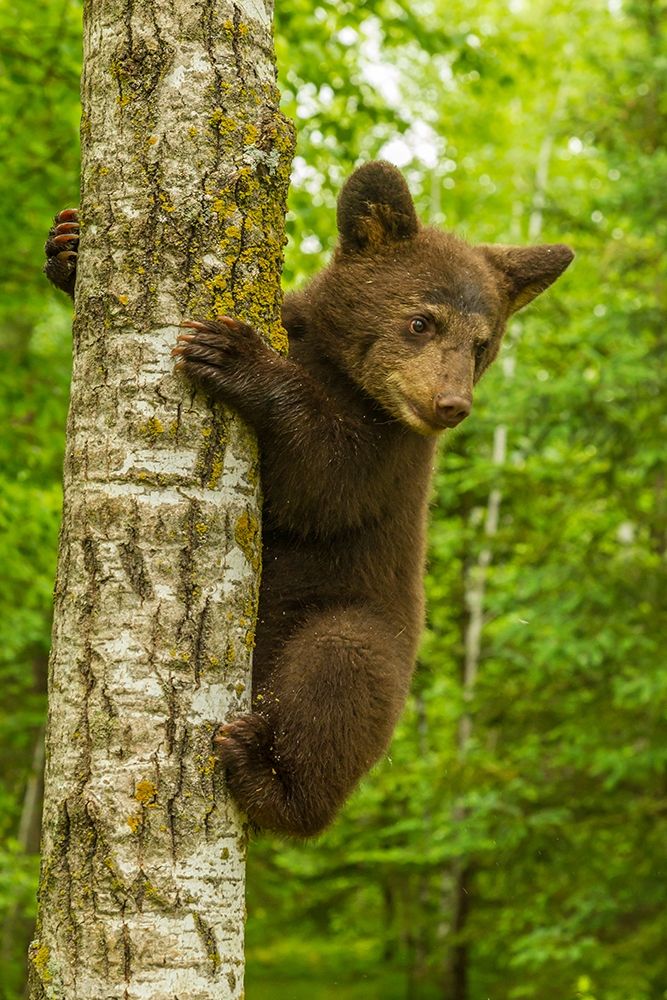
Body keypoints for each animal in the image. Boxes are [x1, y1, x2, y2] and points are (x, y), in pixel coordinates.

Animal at [45, 161, 573, 838]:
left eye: (482, 344)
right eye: (422, 321)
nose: (450, 404)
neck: (341, 369)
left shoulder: (394, 452)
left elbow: (322, 485)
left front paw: (234, 355)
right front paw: (68, 246)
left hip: (364, 634)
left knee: (339, 673)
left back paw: (266, 777)